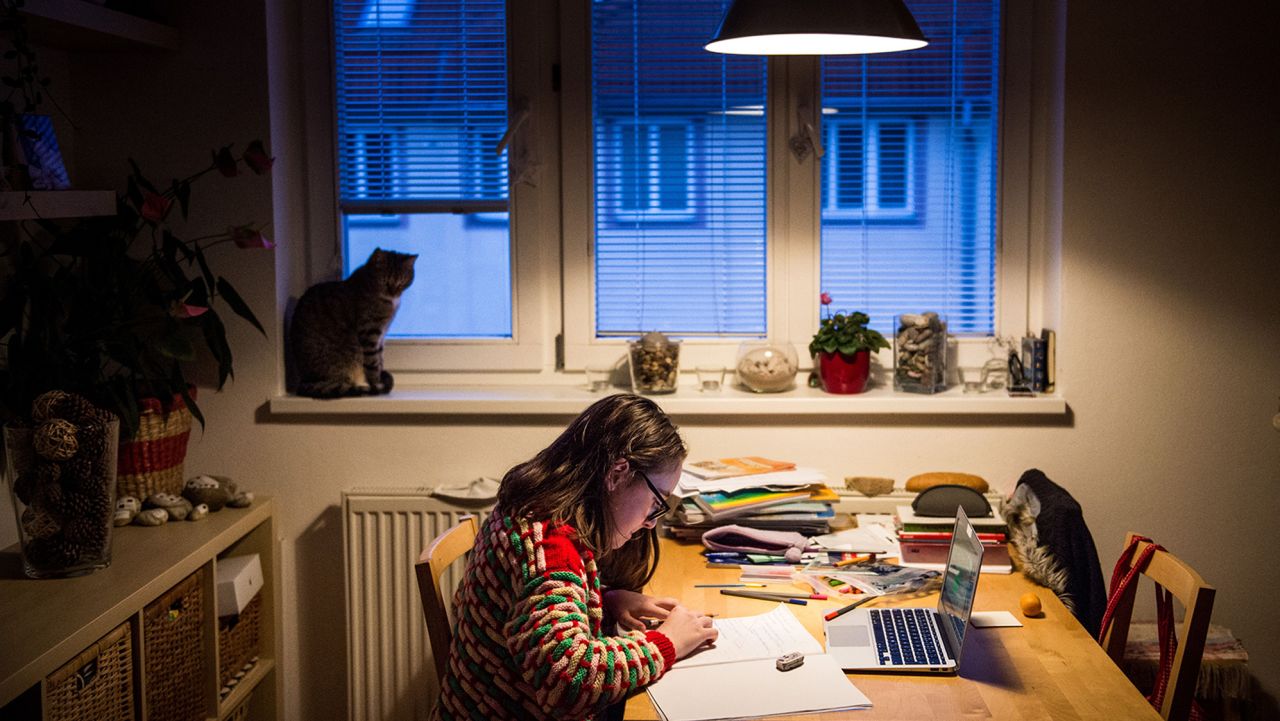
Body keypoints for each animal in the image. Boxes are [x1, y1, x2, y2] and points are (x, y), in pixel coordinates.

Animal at [289, 247, 414, 394]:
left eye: (402, 282)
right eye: (384, 281)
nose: (393, 292)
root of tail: (305, 380)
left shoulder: (381, 335)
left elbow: (379, 358)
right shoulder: (370, 331)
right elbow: (373, 362)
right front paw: (376, 383)